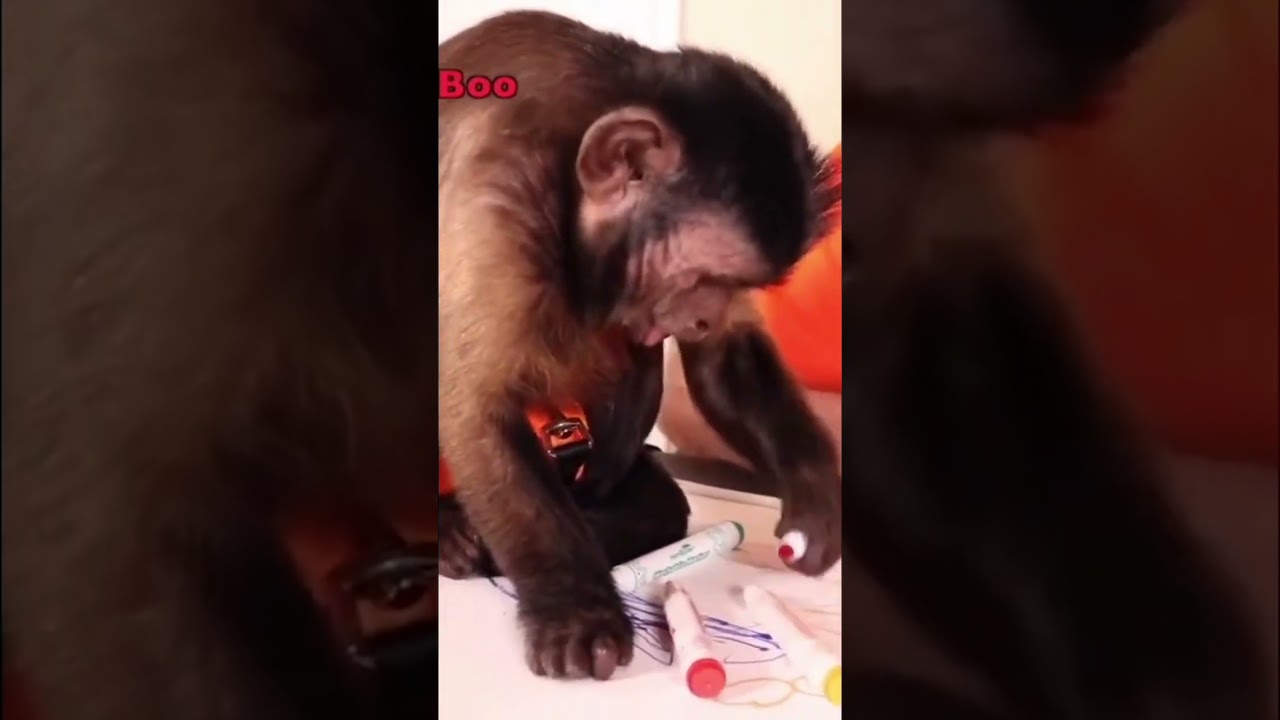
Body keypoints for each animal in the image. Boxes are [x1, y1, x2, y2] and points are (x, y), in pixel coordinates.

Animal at [436, 11, 843, 683]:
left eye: (736, 286)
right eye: (704, 279)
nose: (702, 317)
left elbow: (725, 358)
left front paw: (816, 499)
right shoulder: (494, 199)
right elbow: (472, 407)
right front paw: (575, 608)